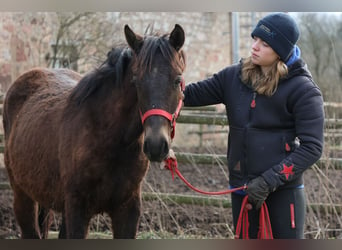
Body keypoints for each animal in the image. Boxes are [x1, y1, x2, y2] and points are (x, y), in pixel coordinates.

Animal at [2, 24, 186, 239]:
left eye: (177, 80)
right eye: (136, 81)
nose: (156, 145)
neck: (110, 138)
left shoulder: (127, 210)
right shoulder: (77, 209)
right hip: (23, 196)